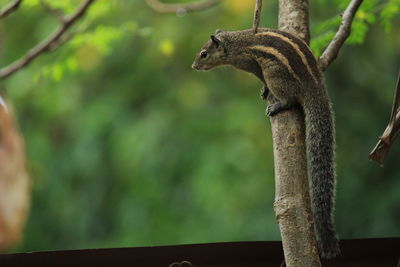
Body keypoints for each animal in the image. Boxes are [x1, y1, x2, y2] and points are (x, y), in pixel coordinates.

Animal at [192, 28, 340, 260]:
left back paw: (278, 104)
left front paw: (264, 90)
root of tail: (315, 86)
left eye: (204, 54)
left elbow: (258, 75)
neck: (234, 43)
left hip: (276, 75)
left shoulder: (249, 62)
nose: (194, 66)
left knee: (291, 99)